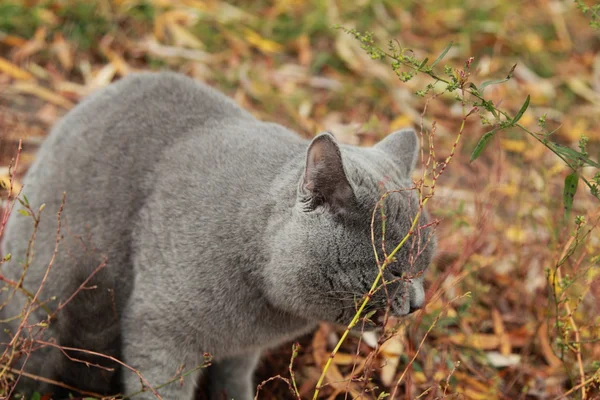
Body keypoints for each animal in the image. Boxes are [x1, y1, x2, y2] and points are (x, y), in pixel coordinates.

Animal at [0, 72, 434, 400]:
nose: (418, 303)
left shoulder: (242, 352)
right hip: (42, 318)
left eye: (425, 266)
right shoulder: (159, 334)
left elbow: (232, 383)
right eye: (395, 271)